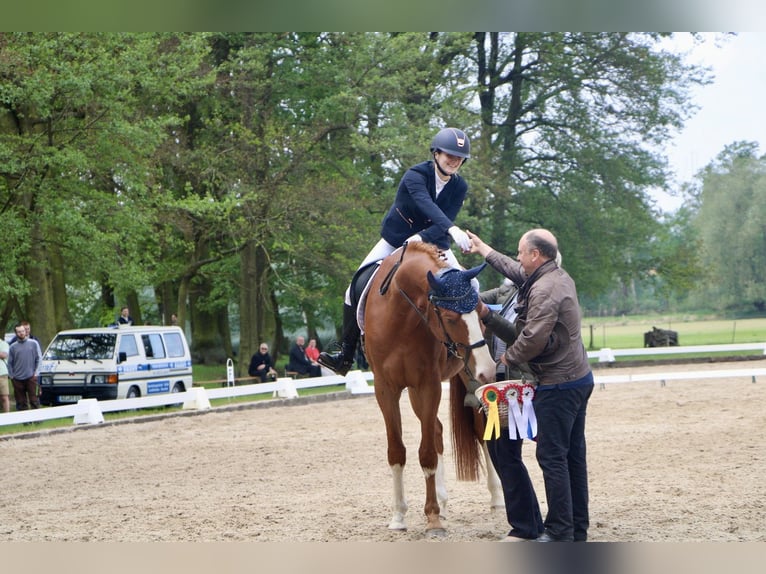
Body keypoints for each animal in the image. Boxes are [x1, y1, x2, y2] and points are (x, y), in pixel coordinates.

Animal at [361, 242, 498, 535]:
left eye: (479, 314)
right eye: (449, 316)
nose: (488, 371)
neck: (399, 315)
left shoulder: (428, 384)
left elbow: (426, 453)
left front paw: (432, 517)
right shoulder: (386, 388)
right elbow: (397, 450)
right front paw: (399, 516)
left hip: (463, 378)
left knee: (480, 431)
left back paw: (496, 497)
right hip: (415, 391)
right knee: (436, 430)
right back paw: (444, 502)